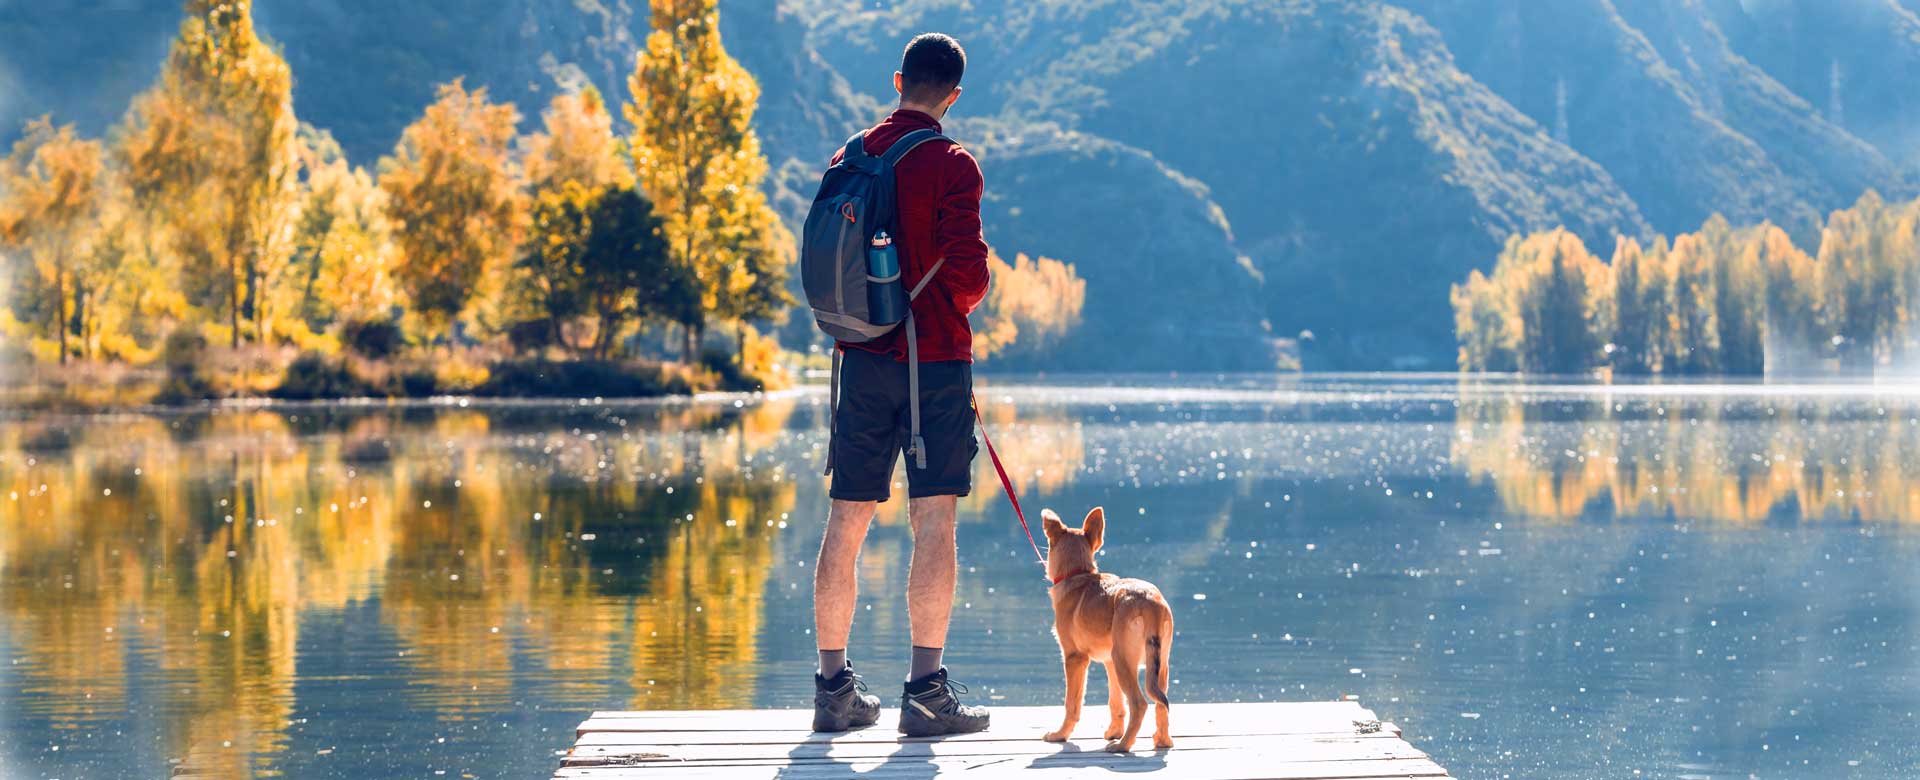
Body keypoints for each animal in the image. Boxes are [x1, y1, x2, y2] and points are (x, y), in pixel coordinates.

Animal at [1044, 507, 1175, 753]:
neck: (1078, 574)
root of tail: (1149, 601)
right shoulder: (1109, 662)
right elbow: (1116, 702)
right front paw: (1114, 731)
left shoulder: (1075, 659)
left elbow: (1072, 704)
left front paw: (1060, 735)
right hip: (1157, 664)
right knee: (1160, 704)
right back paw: (1161, 741)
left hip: (1124, 661)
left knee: (1139, 704)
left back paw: (1123, 745)